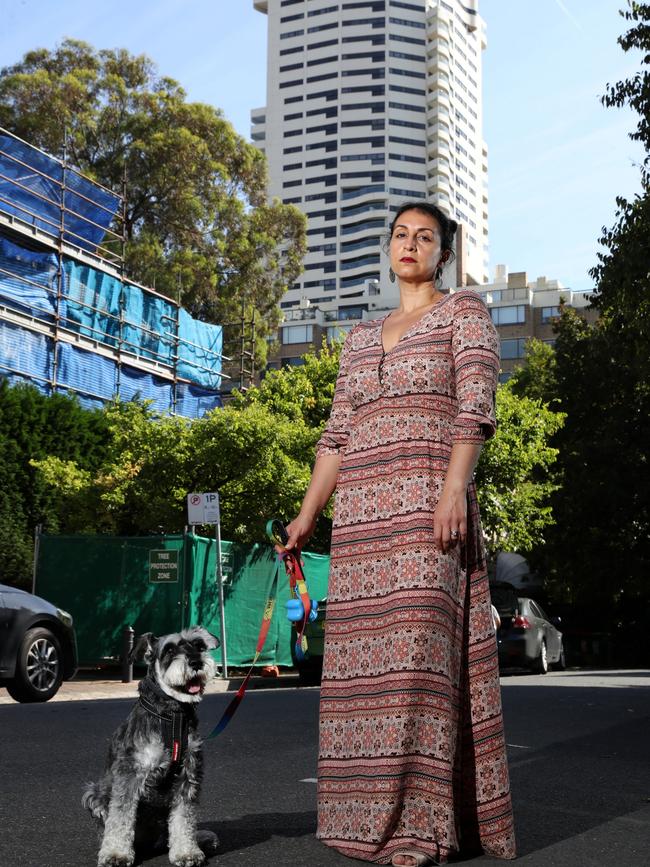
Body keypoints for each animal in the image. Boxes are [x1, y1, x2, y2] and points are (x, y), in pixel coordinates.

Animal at [82, 628, 220, 864]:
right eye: (169, 650)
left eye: (199, 646)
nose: (196, 662)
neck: (172, 715)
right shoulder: (130, 774)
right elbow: (120, 818)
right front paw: (116, 854)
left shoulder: (187, 776)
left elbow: (184, 818)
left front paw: (187, 852)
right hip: (94, 793)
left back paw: (203, 839)